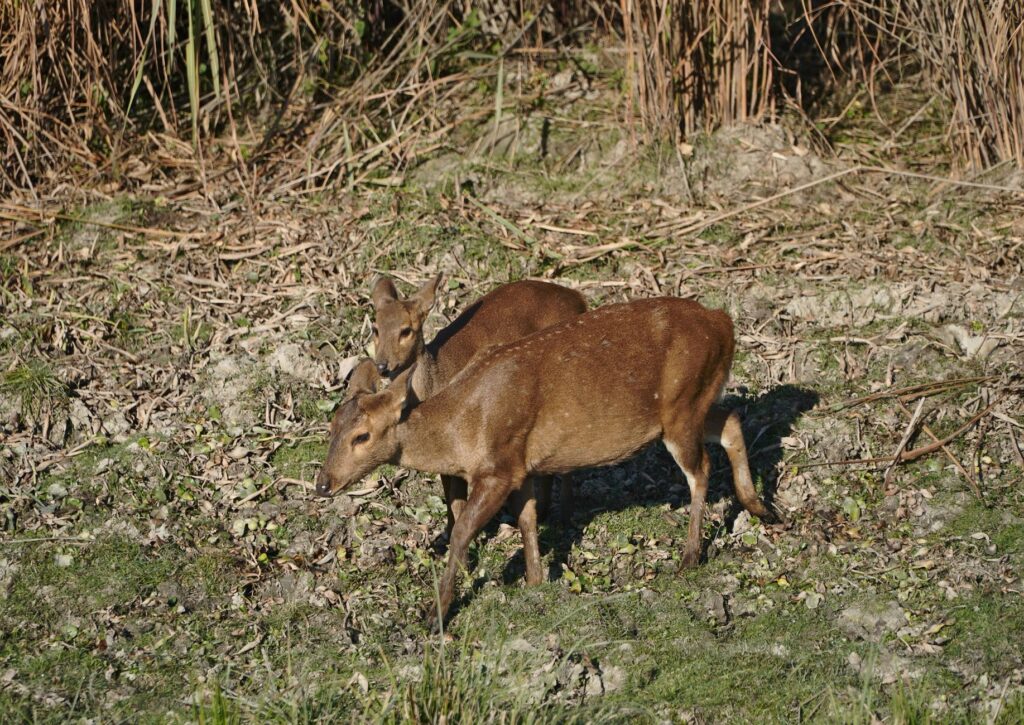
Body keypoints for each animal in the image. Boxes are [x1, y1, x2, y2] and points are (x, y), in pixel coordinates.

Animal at [369, 274, 586, 529]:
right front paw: (447, 533)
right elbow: (450, 494)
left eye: (406, 331)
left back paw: (564, 517)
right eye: (375, 329)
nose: (382, 366)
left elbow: (458, 499)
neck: (435, 380)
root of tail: (579, 299)